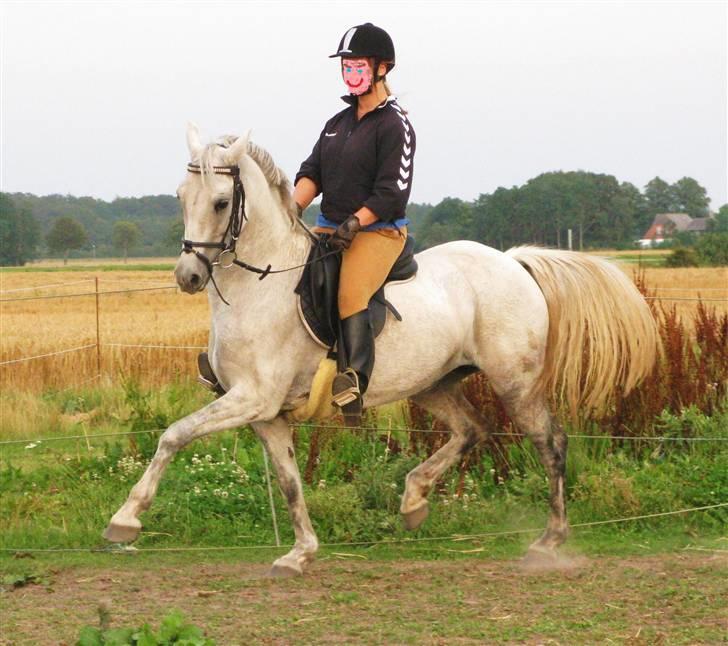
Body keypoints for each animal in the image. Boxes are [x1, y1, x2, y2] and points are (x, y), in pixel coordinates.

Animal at [103, 124, 658, 576]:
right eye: (181, 196)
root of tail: (514, 261)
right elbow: (288, 482)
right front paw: (300, 553)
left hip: (515, 383)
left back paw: (548, 542)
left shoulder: (251, 399)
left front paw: (125, 519)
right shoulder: (266, 414)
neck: (261, 283)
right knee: (470, 430)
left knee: (550, 444)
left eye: (221, 202)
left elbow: (173, 436)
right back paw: (413, 501)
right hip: (435, 383)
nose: (188, 276)